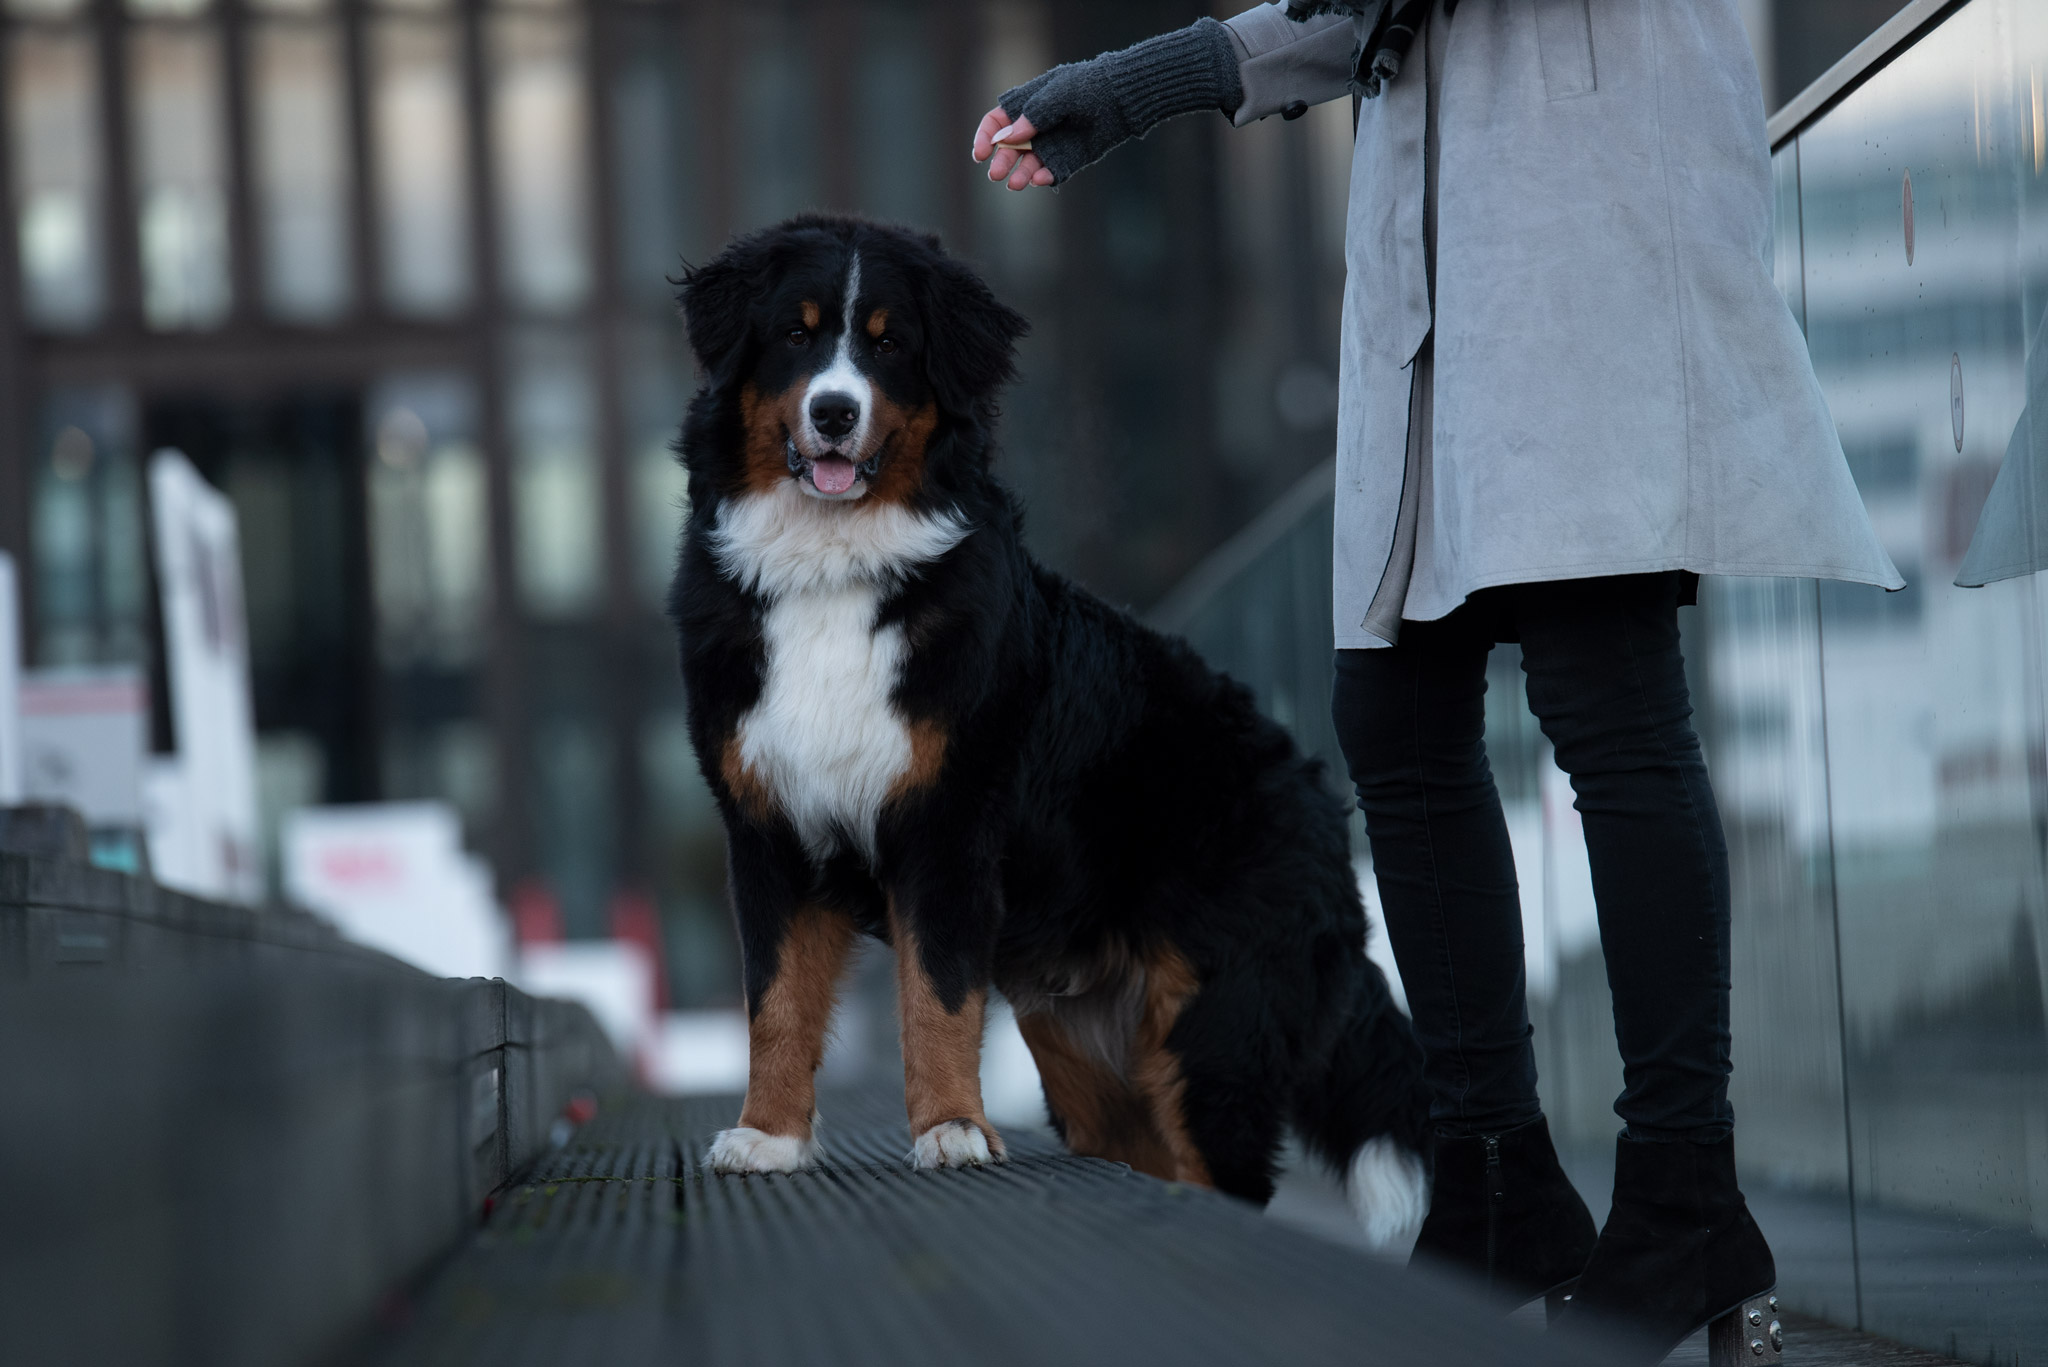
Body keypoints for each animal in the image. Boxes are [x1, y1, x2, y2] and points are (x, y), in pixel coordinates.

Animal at [667, 211, 1425, 1237]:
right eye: (796, 334)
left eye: (888, 344)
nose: (832, 412)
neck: (832, 574)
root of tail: (1315, 792)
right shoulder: (768, 826)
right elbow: (775, 1002)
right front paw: (769, 1137)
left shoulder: (947, 825)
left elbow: (937, 993)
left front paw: (951, 1129)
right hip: (1088, 1052)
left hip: (1210, 1034)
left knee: (1223, 1170)